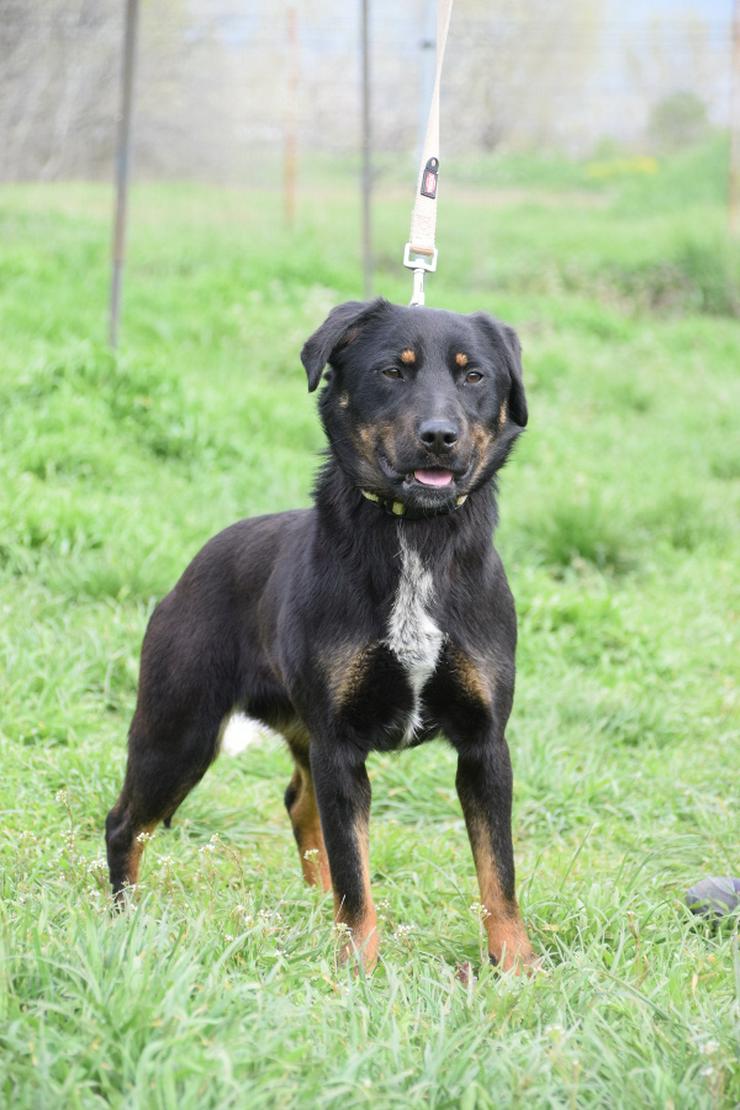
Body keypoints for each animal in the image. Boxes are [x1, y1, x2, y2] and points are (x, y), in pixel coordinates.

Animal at [104, 297, 534, 972]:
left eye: (474, 376)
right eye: (392, 371)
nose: (439, 437)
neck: (413, 534)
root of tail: (192, 567)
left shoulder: (484, 745)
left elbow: (499, 873)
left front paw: (515, 967)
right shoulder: (341, 744)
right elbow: (358, 874)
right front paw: (358, 969)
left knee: (300, 804)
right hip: (179, 734)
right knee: (125, 822)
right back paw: (124, 925)